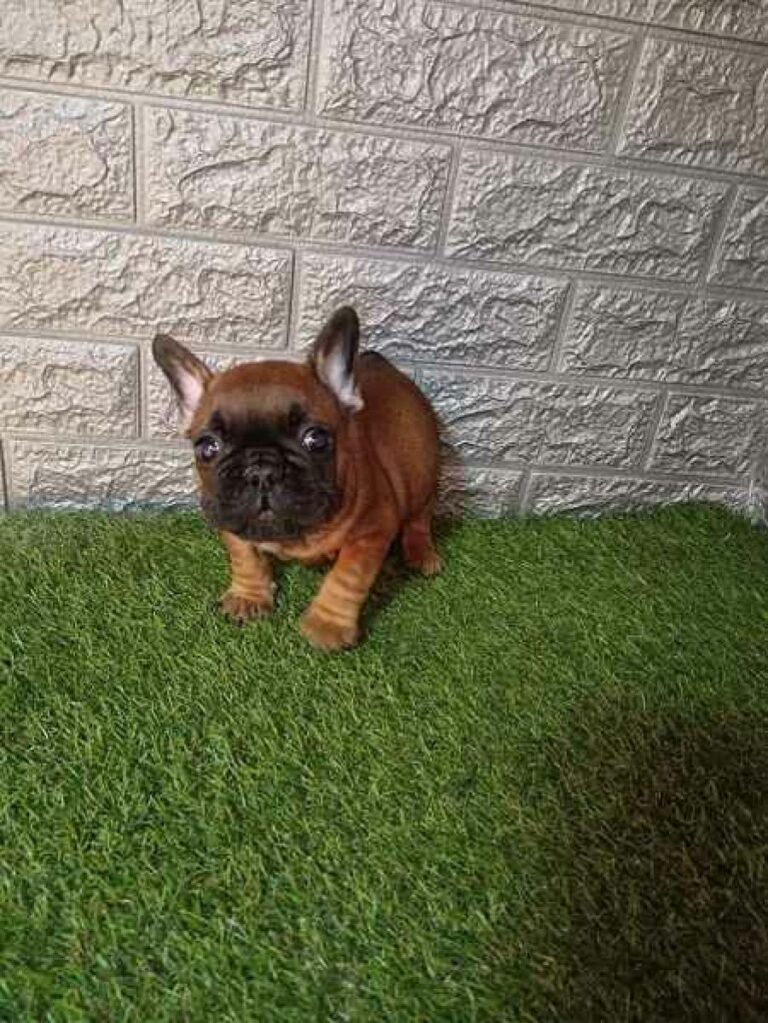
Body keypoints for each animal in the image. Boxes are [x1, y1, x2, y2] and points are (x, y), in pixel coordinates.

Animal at [152, 307, 441, 651]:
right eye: (207, 447)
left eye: (315, 439)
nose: (260, 470)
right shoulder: (232, 518)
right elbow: (245, 557)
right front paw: (249, 597)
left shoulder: (372, 530)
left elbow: (347, 577)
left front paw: (327, 625)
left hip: (423, 473)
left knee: (420, 517)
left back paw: (421, 554)